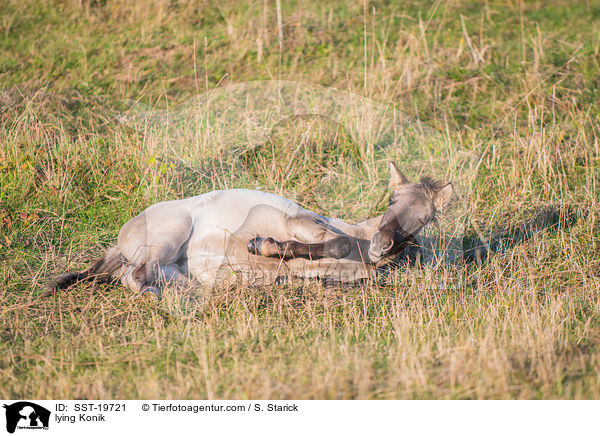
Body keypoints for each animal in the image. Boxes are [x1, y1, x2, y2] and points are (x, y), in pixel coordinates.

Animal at [51, 162, 452, 298]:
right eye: (391, 199)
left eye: (425, 219)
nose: (381, 246)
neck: (359, 240)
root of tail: (123, 236)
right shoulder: (300, 222)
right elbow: (332, 244)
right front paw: (262, 245)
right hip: (168, 237)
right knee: (136, 276)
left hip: (174, 269)